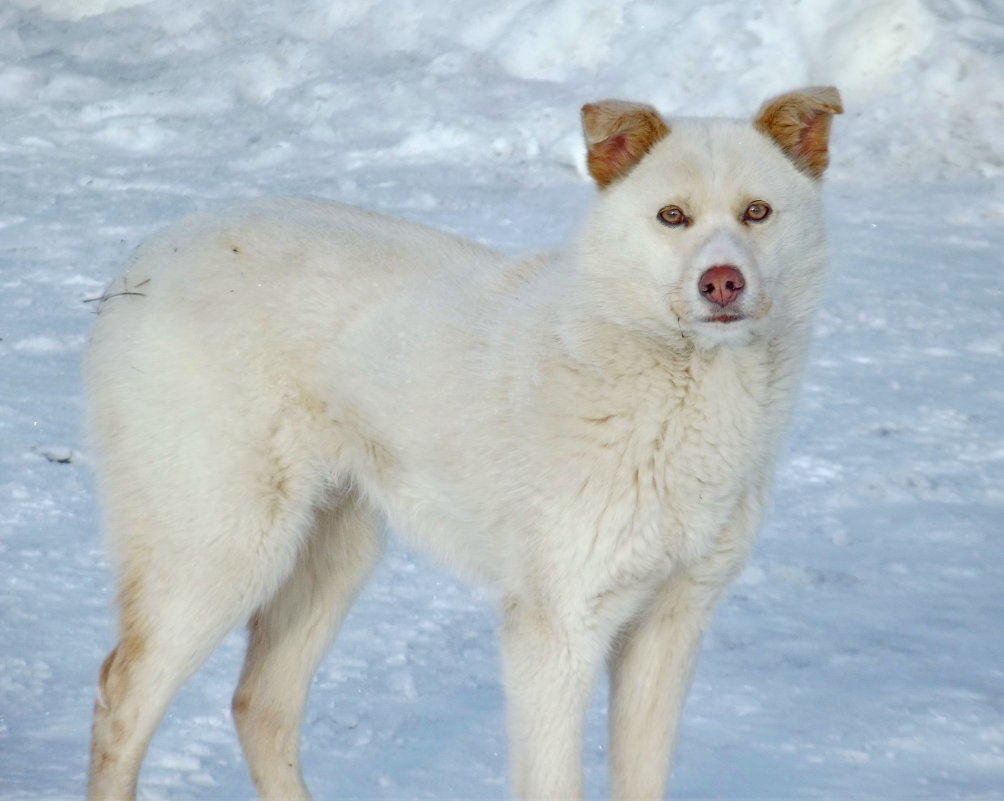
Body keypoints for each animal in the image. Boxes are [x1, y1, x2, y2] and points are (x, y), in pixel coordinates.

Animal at [84, 84, 839, 798]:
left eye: (757, 212)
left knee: (258, 705)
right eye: (672, 216)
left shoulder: (670, 624)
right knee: (120, 697)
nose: (722, 282)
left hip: (334, 551)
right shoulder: (556, 633)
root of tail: (145, 257)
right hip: (221, 548)